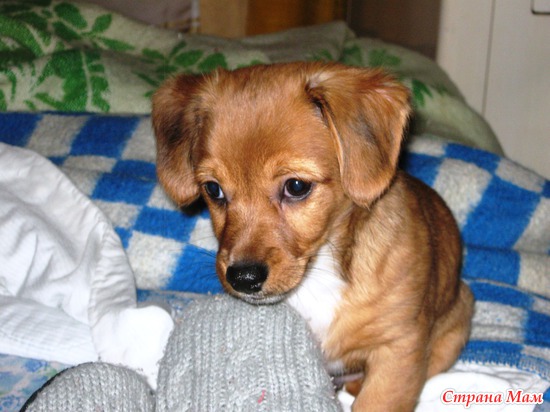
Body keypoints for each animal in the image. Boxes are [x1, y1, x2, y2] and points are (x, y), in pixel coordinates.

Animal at [152, 62, 474, 411]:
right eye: (213, 190)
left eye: (296, 186)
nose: (243, 278)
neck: (324, 269)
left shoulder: (398, 348)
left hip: (455, 327)